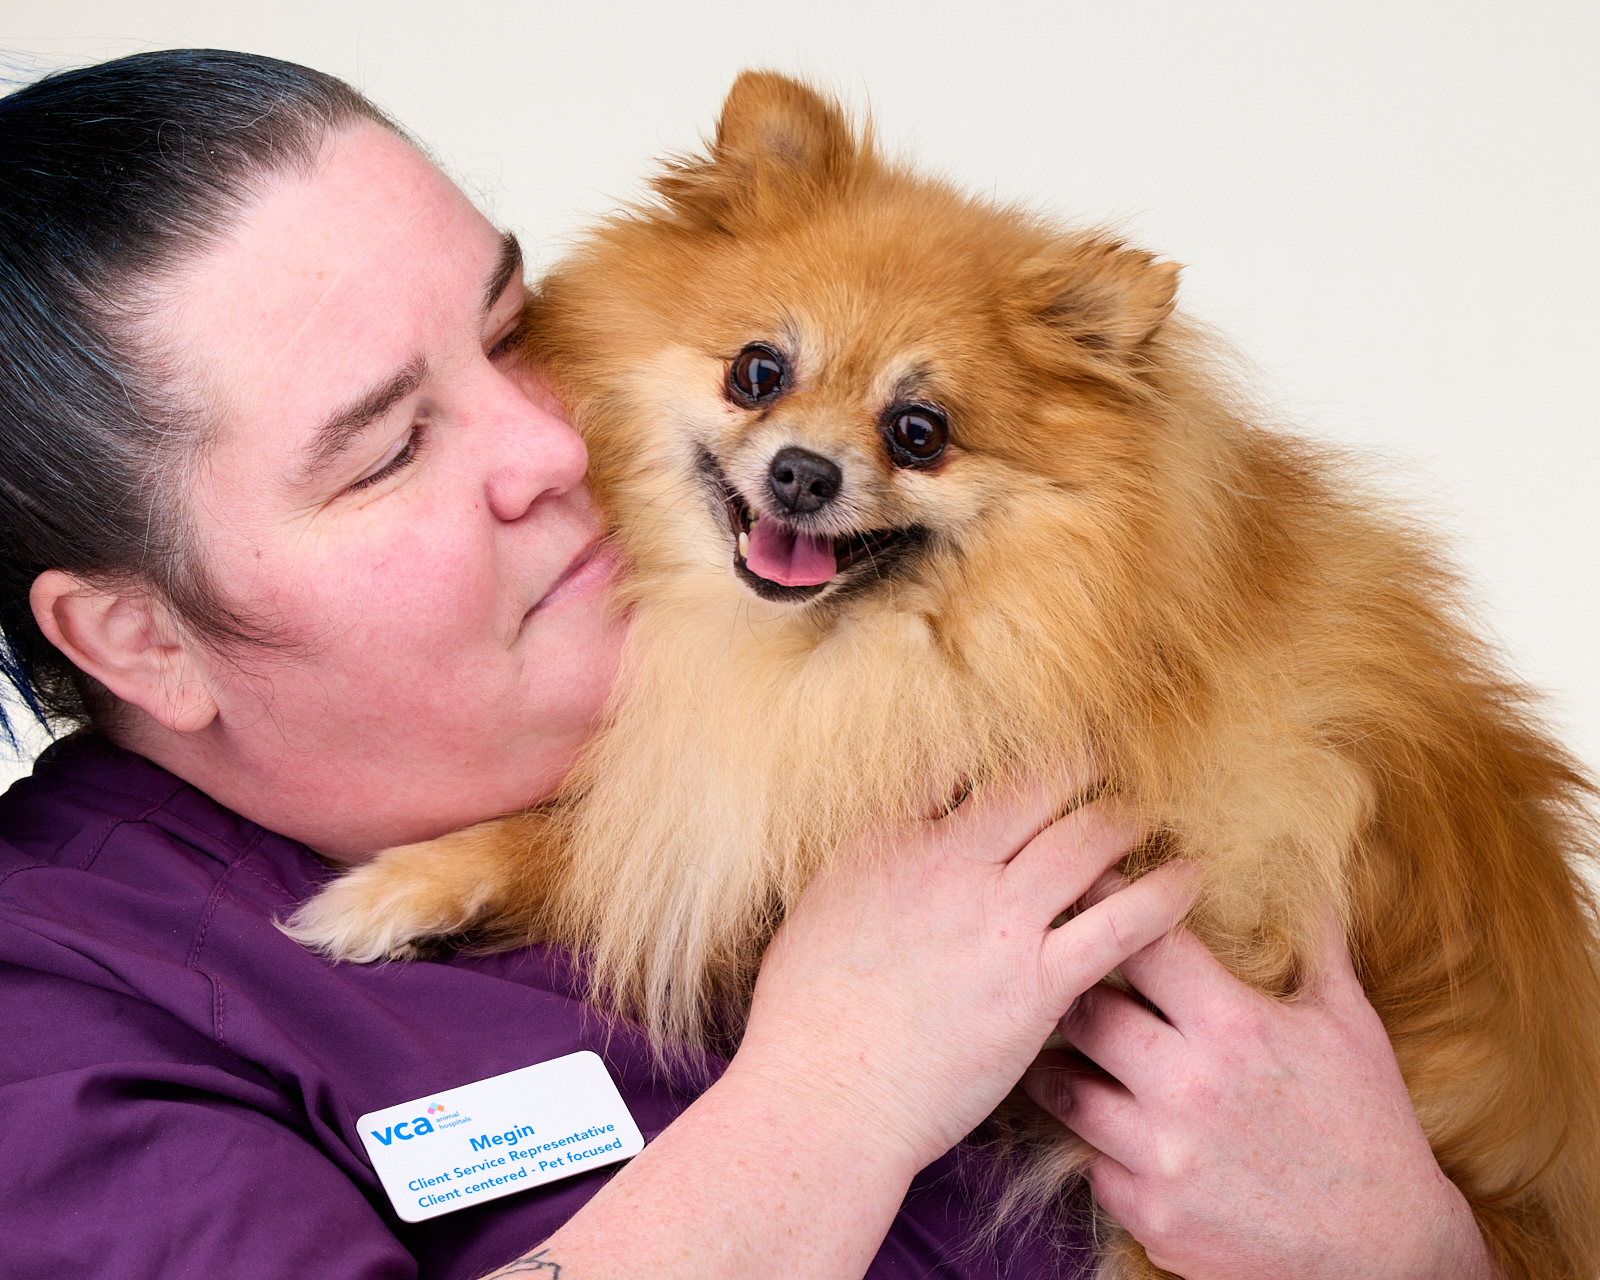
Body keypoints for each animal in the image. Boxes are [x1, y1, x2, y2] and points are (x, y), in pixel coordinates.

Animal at [288, 72, 1600, 1280]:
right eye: (757, 371)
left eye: (918, 432)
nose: (803, 471)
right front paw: (410, 882)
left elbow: (595, 841)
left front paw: (400, 882)